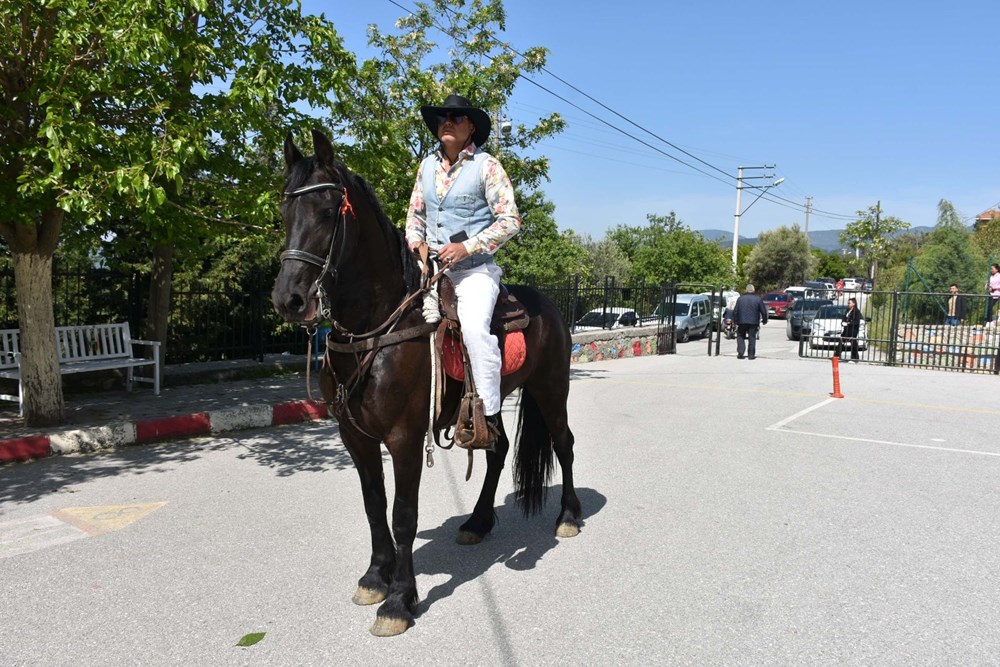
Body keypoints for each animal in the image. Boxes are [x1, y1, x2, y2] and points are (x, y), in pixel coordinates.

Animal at [272, 130, 584, 636]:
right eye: (285, 211)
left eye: (327, 211)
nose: (290, 299)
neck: (375, 329)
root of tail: (549, 305)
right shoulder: (355, 437)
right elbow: (374, 506)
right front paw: (374, 578)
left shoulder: (403, 436)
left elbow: (403, 514)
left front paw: (399, 599)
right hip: (494, 401)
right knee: (497, 451)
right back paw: (478, 522)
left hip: (552, 390)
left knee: (564, 444)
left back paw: (570, 516)